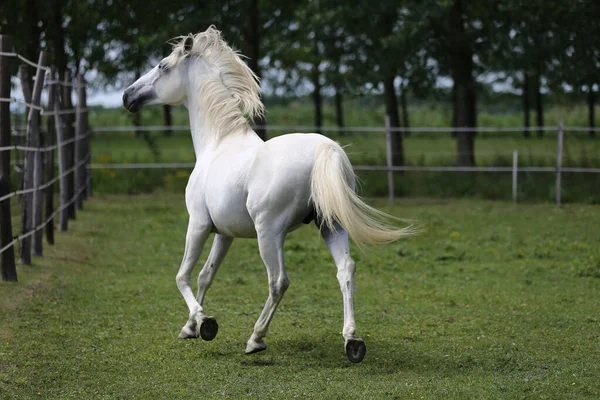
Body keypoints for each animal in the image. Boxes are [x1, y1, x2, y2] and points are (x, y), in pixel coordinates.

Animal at [122, 25, 412, 362]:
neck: (218, 143)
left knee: (278, 281)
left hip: (269, 233)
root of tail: (325, 150)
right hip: (331, 226)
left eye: (162, 65)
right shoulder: (225, 233)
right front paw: (190, 327)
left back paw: (256, 338)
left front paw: (205, 324)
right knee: (346, 271)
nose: (127, 96)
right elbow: (206, 275)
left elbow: (183, 275)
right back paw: (352, 341)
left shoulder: (198, 224)